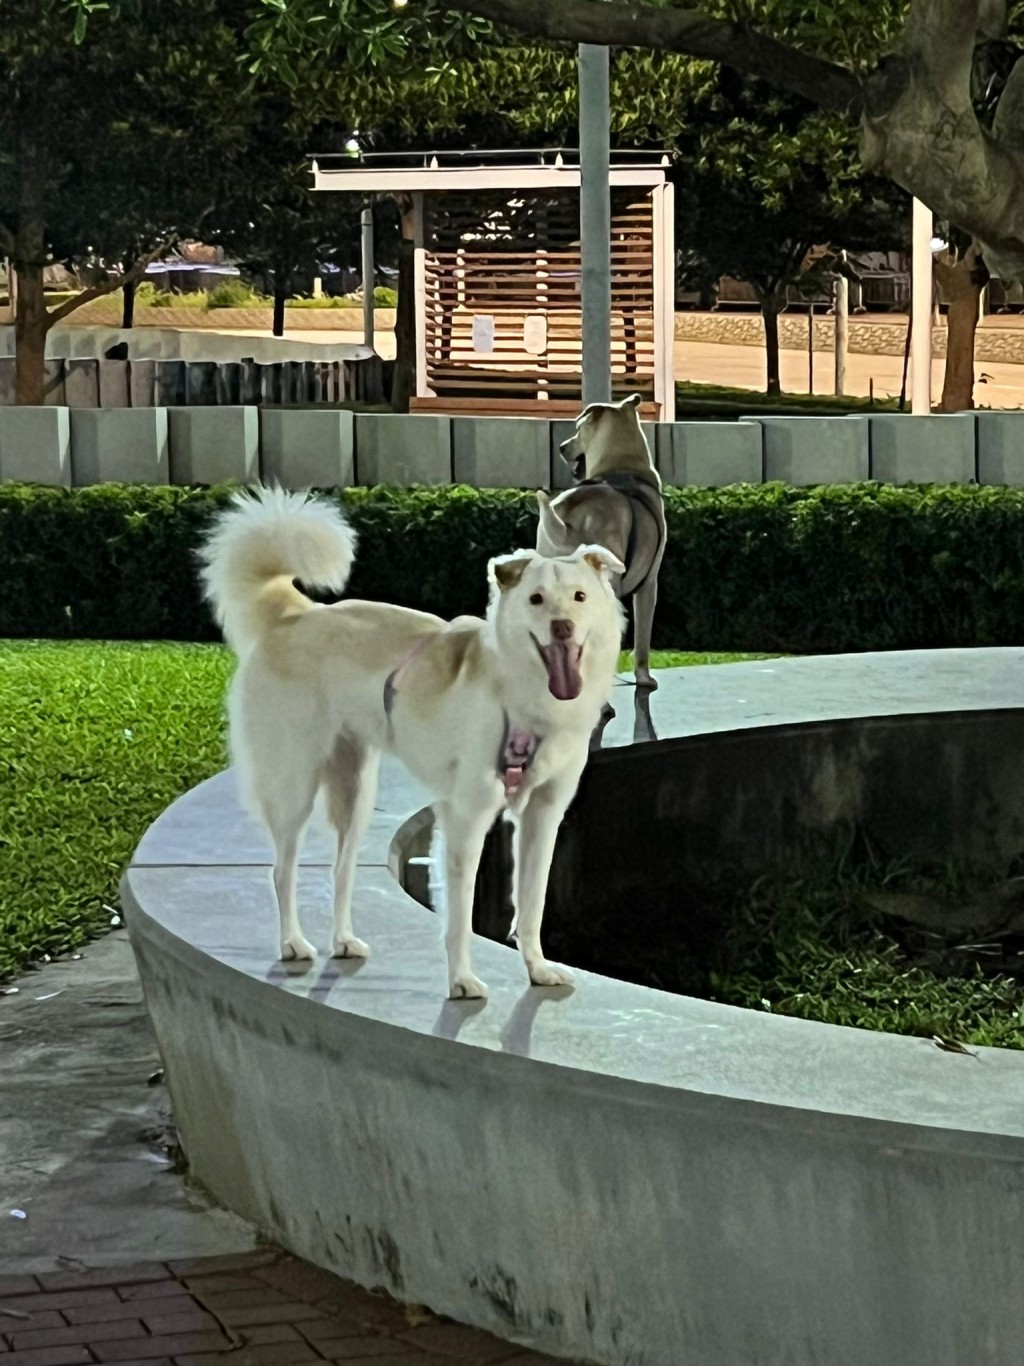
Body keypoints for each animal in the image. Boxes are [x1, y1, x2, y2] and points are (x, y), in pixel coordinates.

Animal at [196, 486, 622, 999]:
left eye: (580, 597)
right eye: (537, 599)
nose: (562, 626)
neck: (521, 691)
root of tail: (296, 615)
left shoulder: (543, 816)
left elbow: (532, 903)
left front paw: (537, 970)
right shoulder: (465, 818)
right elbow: (459, 916)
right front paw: (461, 980)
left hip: (355, 793)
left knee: (341, 871)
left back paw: (343, 940)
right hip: (294, 784)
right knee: (282, 869)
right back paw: (293, 943)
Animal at [532, 396, 669, 693]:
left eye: (578, 429)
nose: (561, 447)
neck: (621, 467)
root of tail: (566, 523)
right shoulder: (649, 584)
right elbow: (642, 642)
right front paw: (644, 678)